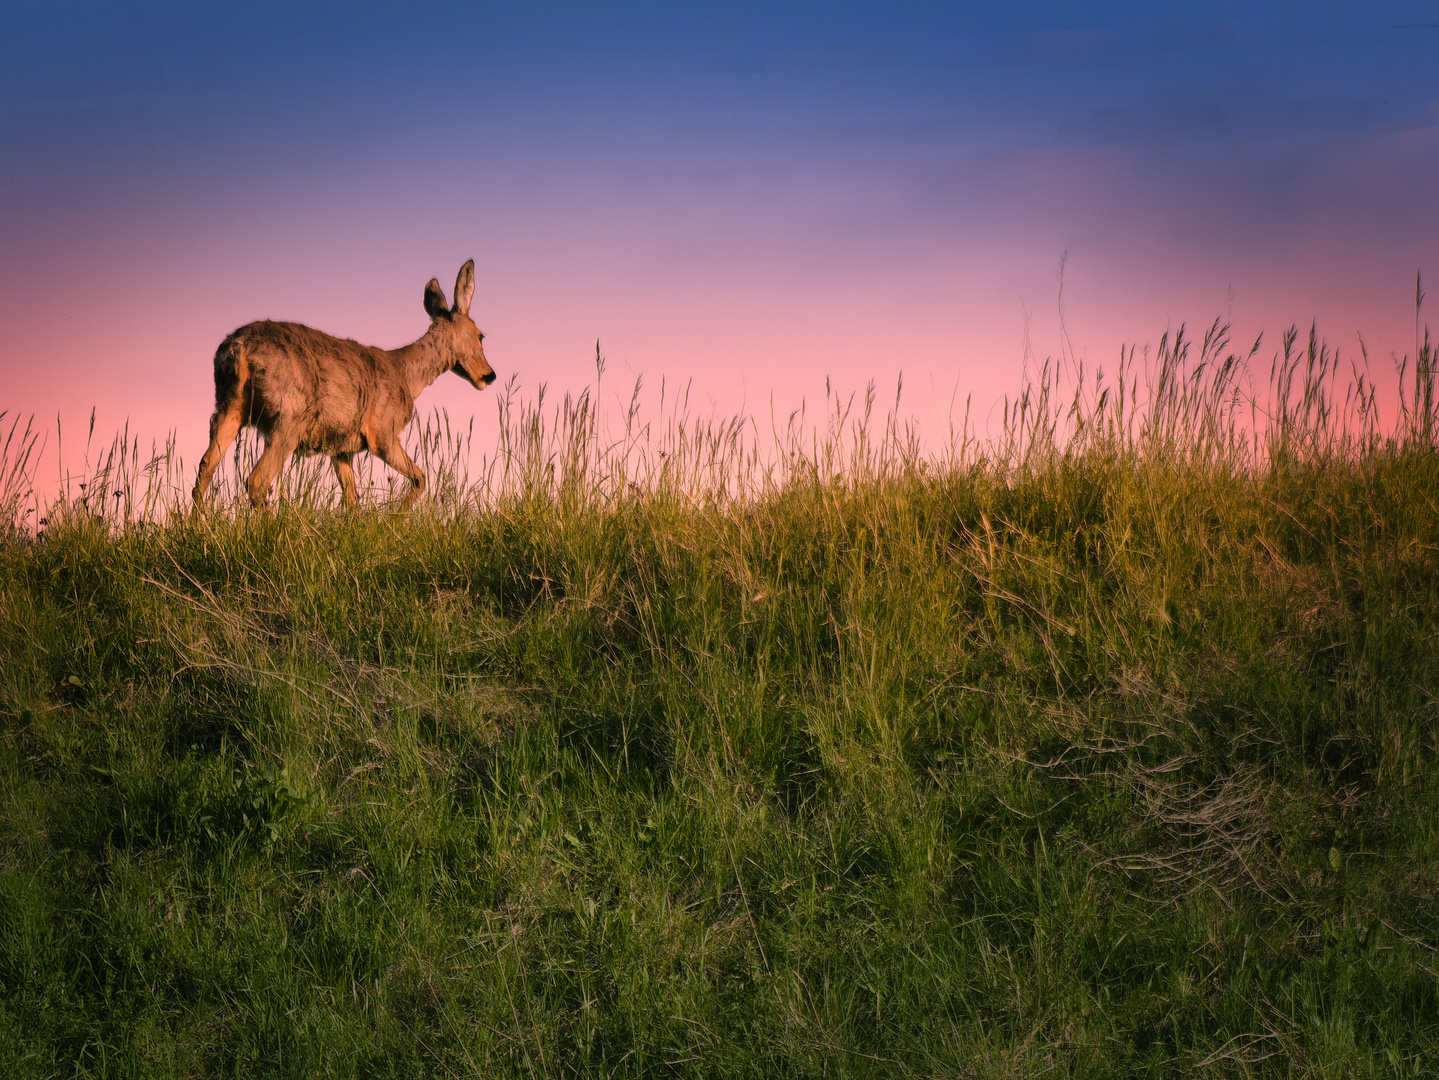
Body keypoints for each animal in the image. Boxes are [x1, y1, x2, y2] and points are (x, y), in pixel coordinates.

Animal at [191, 264, 497, 511]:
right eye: (481, 335)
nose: (490, 375)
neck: (407, 375)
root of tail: (237, 347)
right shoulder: (382, 434)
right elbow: (420, 478)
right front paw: (396, 520)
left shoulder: (340, 448)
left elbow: (352, 501)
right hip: (289, 417)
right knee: (256, 480)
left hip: (229, 407)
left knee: (204, 470)